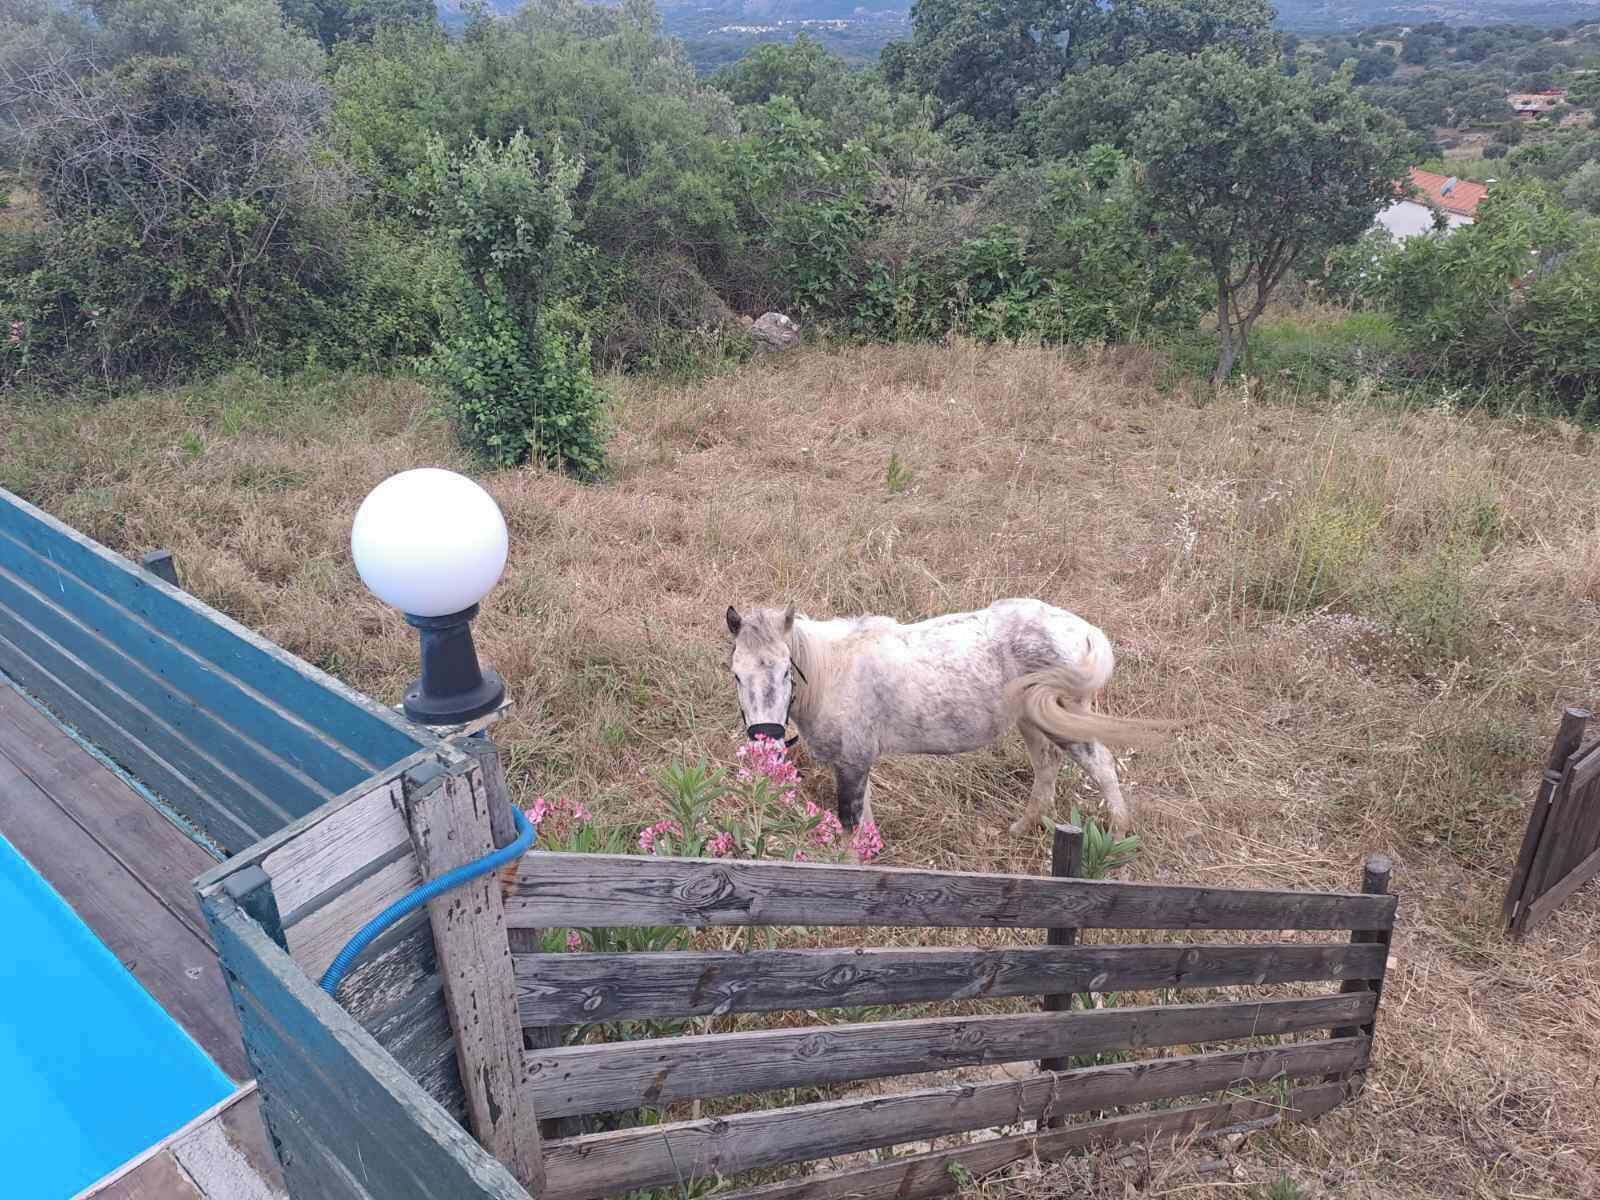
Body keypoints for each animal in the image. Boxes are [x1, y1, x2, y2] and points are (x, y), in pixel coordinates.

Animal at [724, 598, 1167, 839]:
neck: (833, 672)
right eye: (736, 674)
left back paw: (1117, 832)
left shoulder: (853, 762)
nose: (765, 741)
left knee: (1101, 765)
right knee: (1047, 766)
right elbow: (866, 818)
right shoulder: (856, 763)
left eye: (786, 671)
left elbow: (852, 822)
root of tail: (1085, 633)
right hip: (1032, 721)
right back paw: (1023, 827)